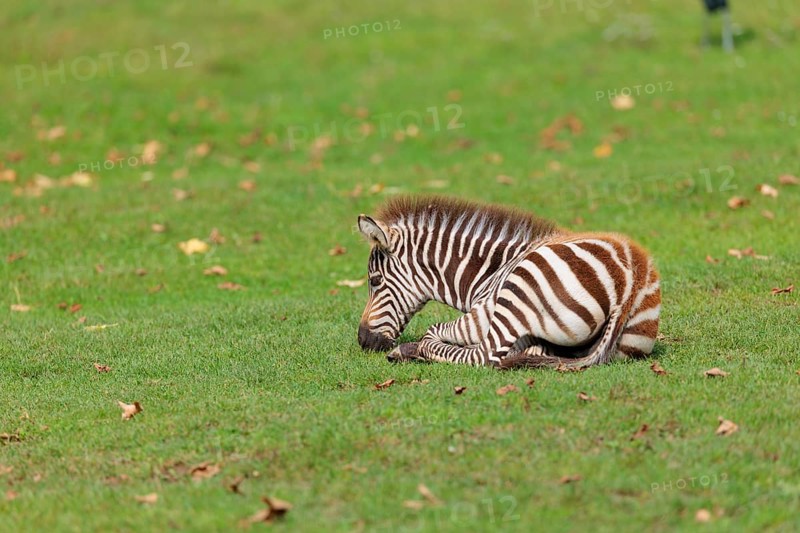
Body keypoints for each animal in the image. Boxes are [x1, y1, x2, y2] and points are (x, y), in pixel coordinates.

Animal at [356, 195, 661, 369]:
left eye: (375, 281)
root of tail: (630, 281)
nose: (363, 341)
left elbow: (433, 332)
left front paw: (409, 350)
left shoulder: (483, 312)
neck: (491, 270)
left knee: (482, 356)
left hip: (517, 293)